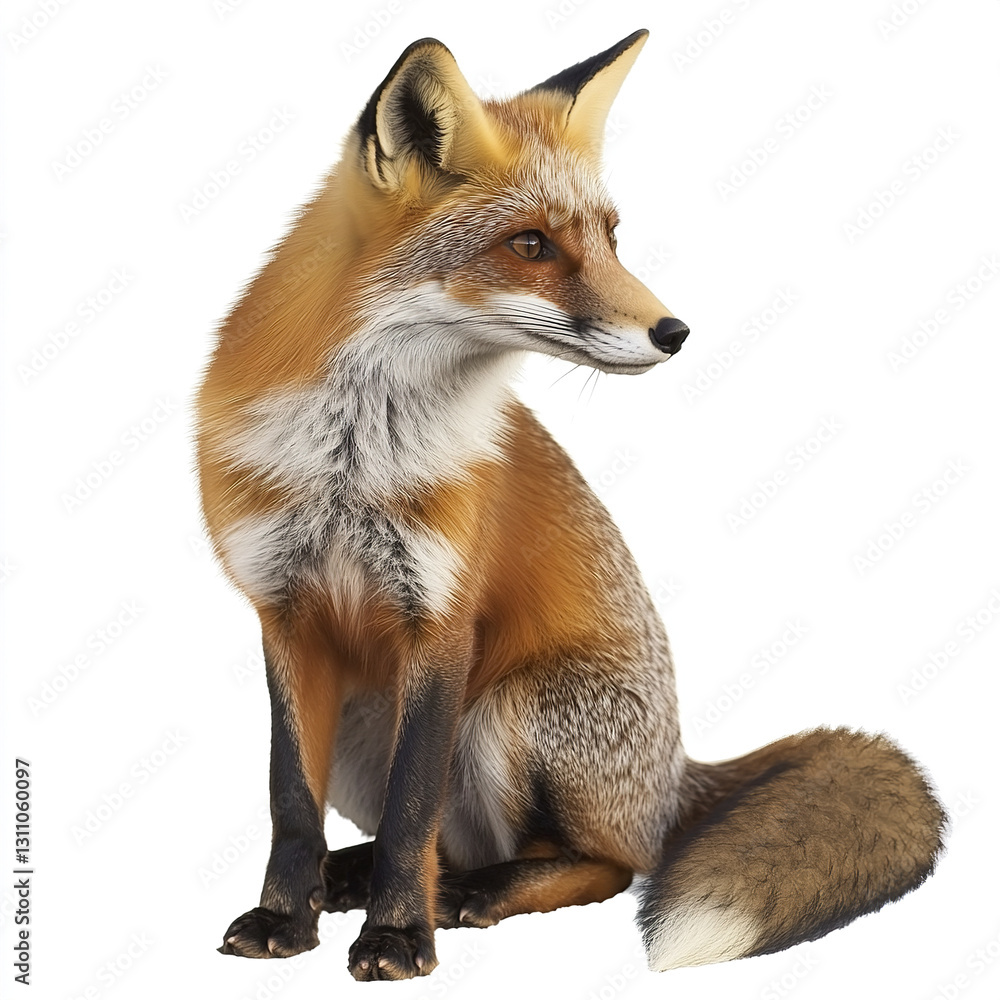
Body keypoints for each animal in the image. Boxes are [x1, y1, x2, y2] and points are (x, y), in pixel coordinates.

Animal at [196, 29, 945, 981]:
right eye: (530, 245)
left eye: (611, 237)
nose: (676, 332)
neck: (351, 461)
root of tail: (678, 771)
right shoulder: (285, 613)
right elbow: (293, 802)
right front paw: (284, 919)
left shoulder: (441, 620)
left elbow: (412, 812)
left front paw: (399, 937)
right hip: (372, 716)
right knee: (461, 841)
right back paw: (361, 877)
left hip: (508, 710)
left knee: (606, 864)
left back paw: (472, 895)